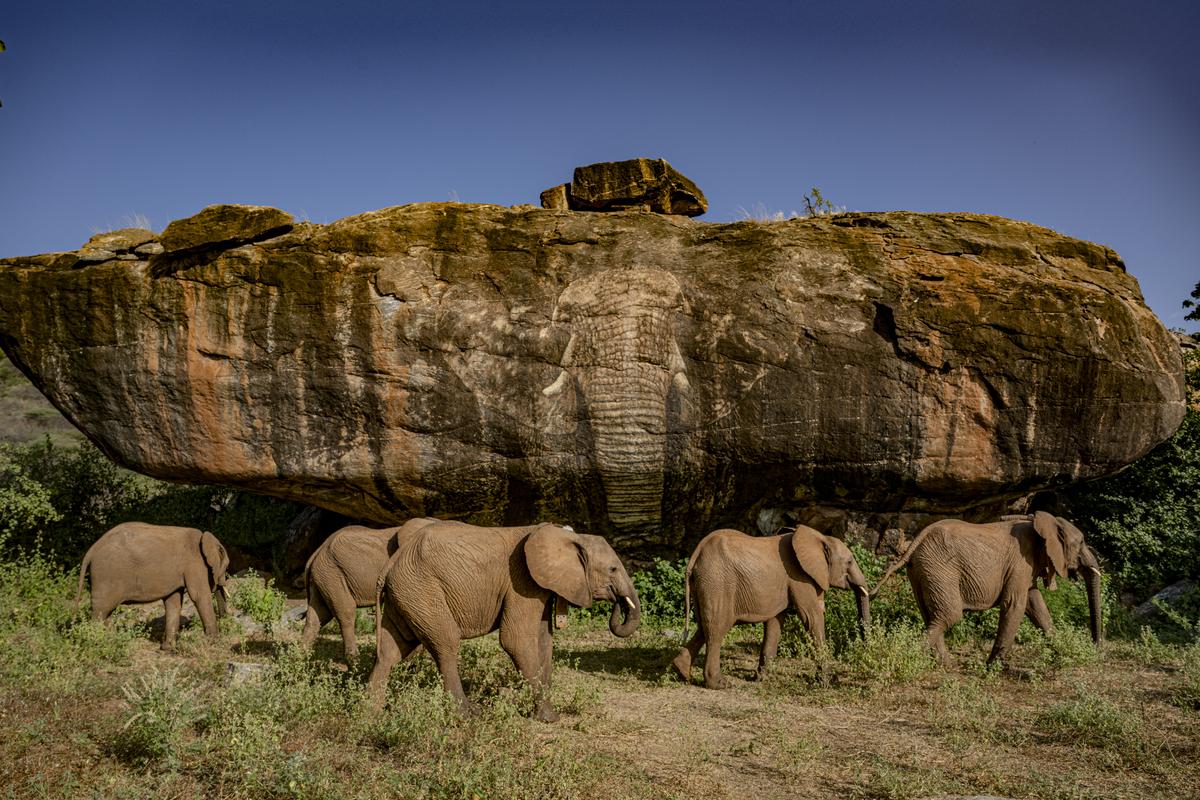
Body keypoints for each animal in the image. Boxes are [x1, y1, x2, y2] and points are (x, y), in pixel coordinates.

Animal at [74, 525, 229, 652]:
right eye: (226, 566)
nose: (226, 623)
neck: (205, 538)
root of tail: (91, 550)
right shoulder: (195, 563)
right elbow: (199, 596)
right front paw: (214, 642)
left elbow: (173, 601)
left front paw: (167, 648)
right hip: (105, 576)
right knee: (100, 612)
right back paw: (98, 644)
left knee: (106, 613)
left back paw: (112, 642)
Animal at [369, 522, 643, 724]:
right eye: (613, 569)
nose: (618, 603)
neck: (567, 537)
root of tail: (391, 562)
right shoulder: (521, 581)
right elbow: (516, 641)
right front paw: (551, 718)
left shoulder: (539, 586)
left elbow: (544, 641)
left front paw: (541, 712)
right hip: (422, 590)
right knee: (445, 645)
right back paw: (468, 715)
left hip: (406, 594)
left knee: (392, 650)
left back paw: (370, 711)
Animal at [672, 525, 868, 690]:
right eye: (850, 562)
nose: (865, 646)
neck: (819, 537)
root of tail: (696, 553)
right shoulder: (799, 577)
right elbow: (812, 618)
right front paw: (826, 682)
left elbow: (775, 623)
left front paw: (763, 679)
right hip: (717, 583)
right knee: (716, 630)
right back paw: (719, 684)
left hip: (704, 584)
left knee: (704, 627)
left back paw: (681, 671)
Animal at [873, 510, 1104, 666]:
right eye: (1081, 542)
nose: (1097, 647)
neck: (1042, 522)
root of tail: (917, 540)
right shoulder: (1021, 561)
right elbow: (1015, 604)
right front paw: (995, 667)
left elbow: (1036, 605)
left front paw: (1062, 652)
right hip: (939, 568)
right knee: (949, 615)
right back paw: (909, 657)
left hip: (922, 571)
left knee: (932, 615)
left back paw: (945, 664)